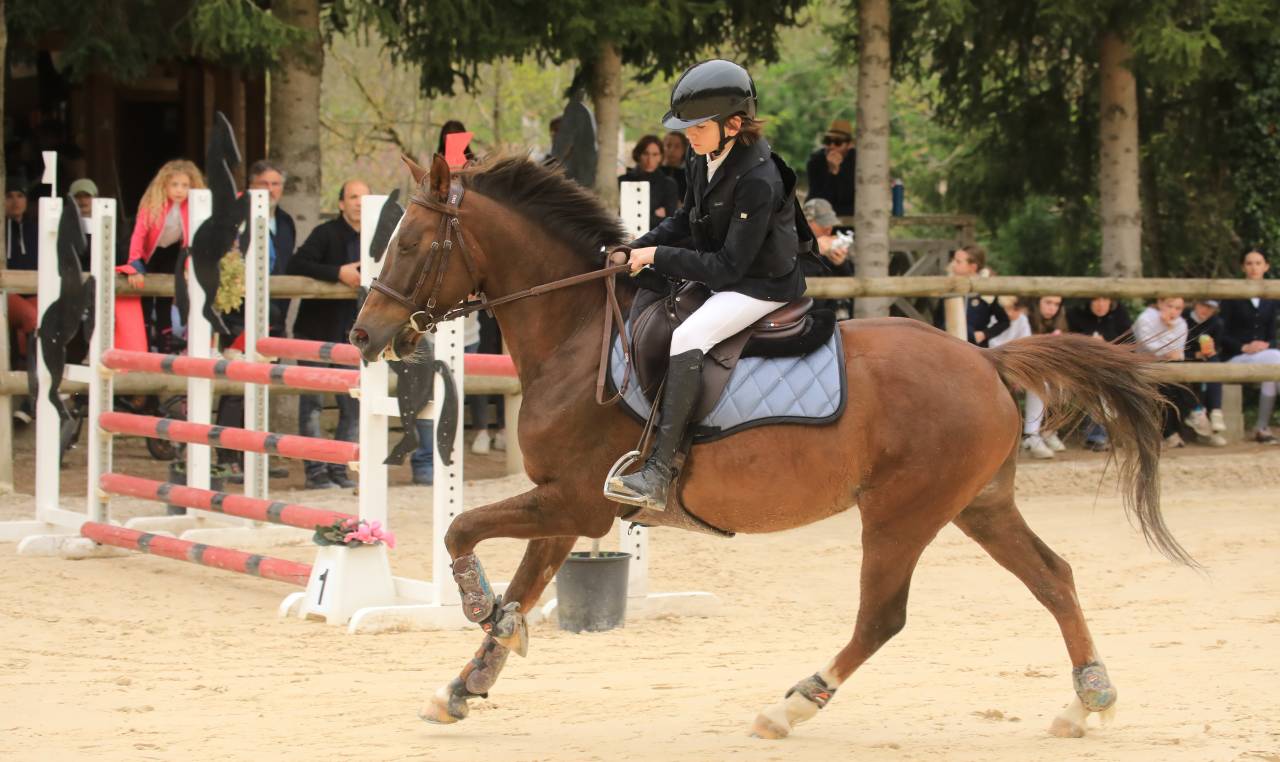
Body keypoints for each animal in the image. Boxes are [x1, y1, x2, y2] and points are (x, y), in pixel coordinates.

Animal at [349, 152, 1193, 741]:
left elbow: (463, 530)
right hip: (978, 506)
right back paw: (1089, 700)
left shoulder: (578, 503)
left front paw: (473, 603)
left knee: (882, 618)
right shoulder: (564, 507)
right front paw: (466, 682)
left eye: (411, 244)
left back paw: (789, 707)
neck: (578, 330)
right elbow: (523, 586)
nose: (362, 335)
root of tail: (987, 359)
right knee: (1053, 577)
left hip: (902, 515)